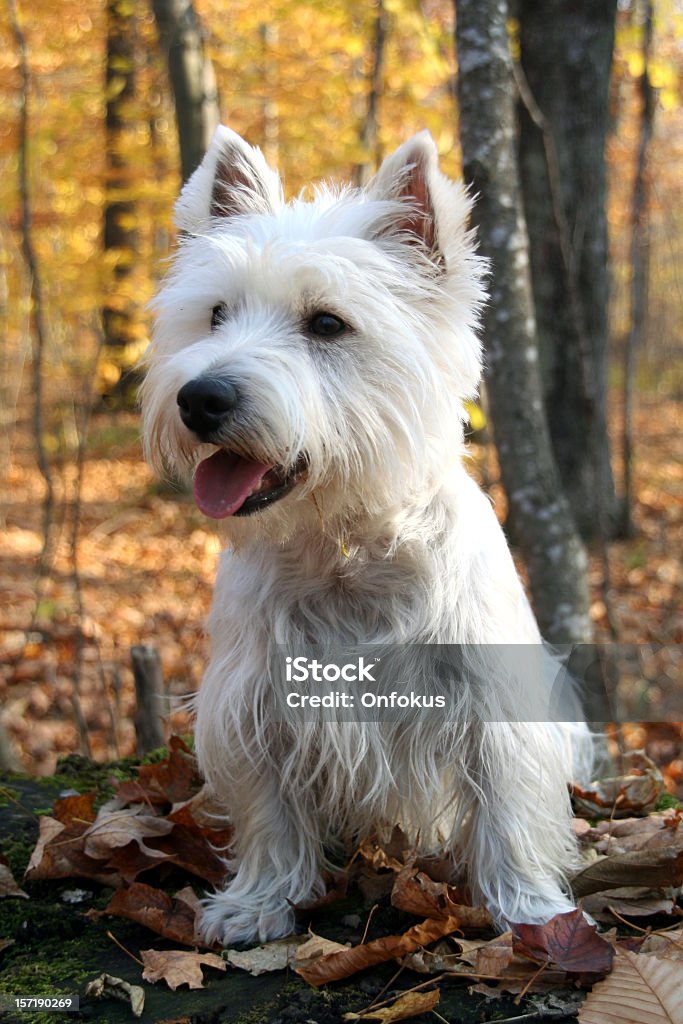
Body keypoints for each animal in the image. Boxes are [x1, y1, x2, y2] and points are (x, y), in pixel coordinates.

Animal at [141, 125, 589, 942]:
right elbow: (270, 814)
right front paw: (258, 903)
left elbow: (508, 810)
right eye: (215, 315)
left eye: (326, 323)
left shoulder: (490, 705)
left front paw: (533, 913)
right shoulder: (254, 702)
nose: (200, 397)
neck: (342, 547)